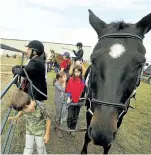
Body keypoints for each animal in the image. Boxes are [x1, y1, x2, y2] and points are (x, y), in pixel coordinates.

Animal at [81, 9, 151, 154]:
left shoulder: (120, 117)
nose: (101, 134)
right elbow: (87, 136)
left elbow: (108, 145)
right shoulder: (90, 111)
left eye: (140, 64)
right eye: (93, 59)